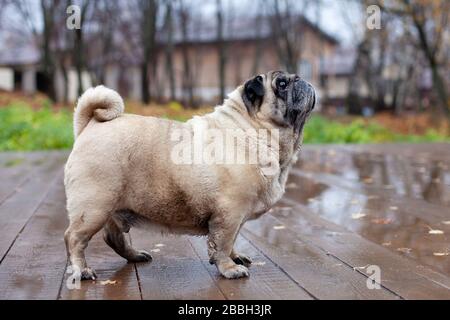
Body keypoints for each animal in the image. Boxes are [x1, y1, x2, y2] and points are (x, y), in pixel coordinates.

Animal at [64, 70, 316, 280]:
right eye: (281, 84)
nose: (301, 79)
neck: (253, 130)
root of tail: (89, 126)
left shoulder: (236, 217)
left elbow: (232, 240)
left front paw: (235, 257)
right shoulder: (230, 213)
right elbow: (223, 244)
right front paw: (229, 268)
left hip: (111, 208)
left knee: (114, 239)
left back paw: (135, 255)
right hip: (94, 207)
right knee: (74, 239)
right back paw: (82, 271)